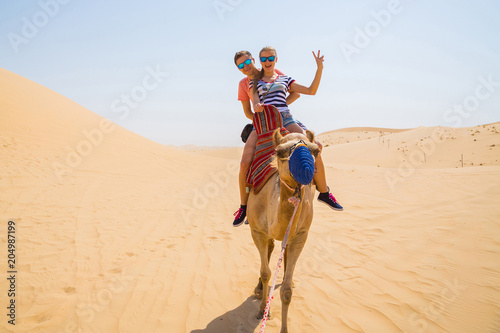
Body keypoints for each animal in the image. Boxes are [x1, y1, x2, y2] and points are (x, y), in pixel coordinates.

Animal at [246, 127, 320, 332]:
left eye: (316, 151)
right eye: (279, 152)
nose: (306, 169)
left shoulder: (301, 235)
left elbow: (286, 291)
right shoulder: (257, 231)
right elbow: (266, 273)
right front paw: (263, 310)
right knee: (270, 249)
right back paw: (259, 290)